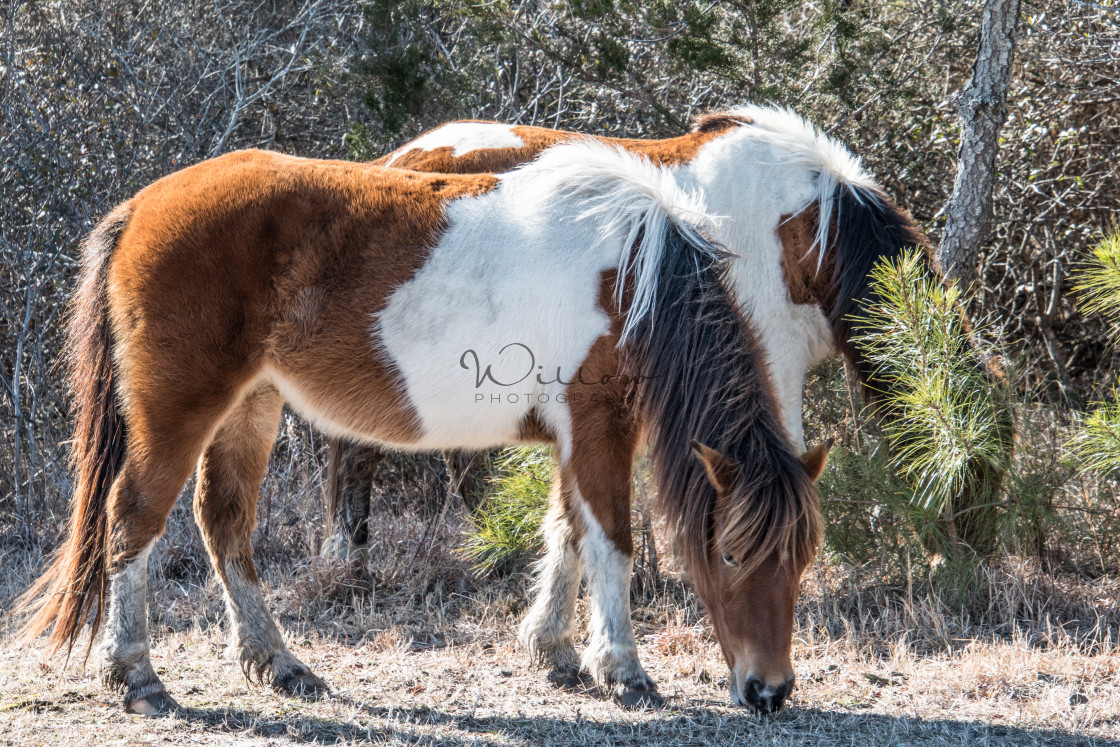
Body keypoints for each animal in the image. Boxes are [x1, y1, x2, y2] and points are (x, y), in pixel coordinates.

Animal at [15, 141, 824, 716]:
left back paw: (281, 664)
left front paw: (556, 651)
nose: (770, 691)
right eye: (732, 554)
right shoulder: (600, 426)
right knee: (132, 519)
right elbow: (611, 542)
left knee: (224, 523)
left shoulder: (576, 436)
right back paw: (138, 676)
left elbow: (566, 533)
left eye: (803, 557)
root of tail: (141, 207)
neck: (634, 272)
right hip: (179, 410)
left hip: (250, 406)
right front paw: (622, 669)